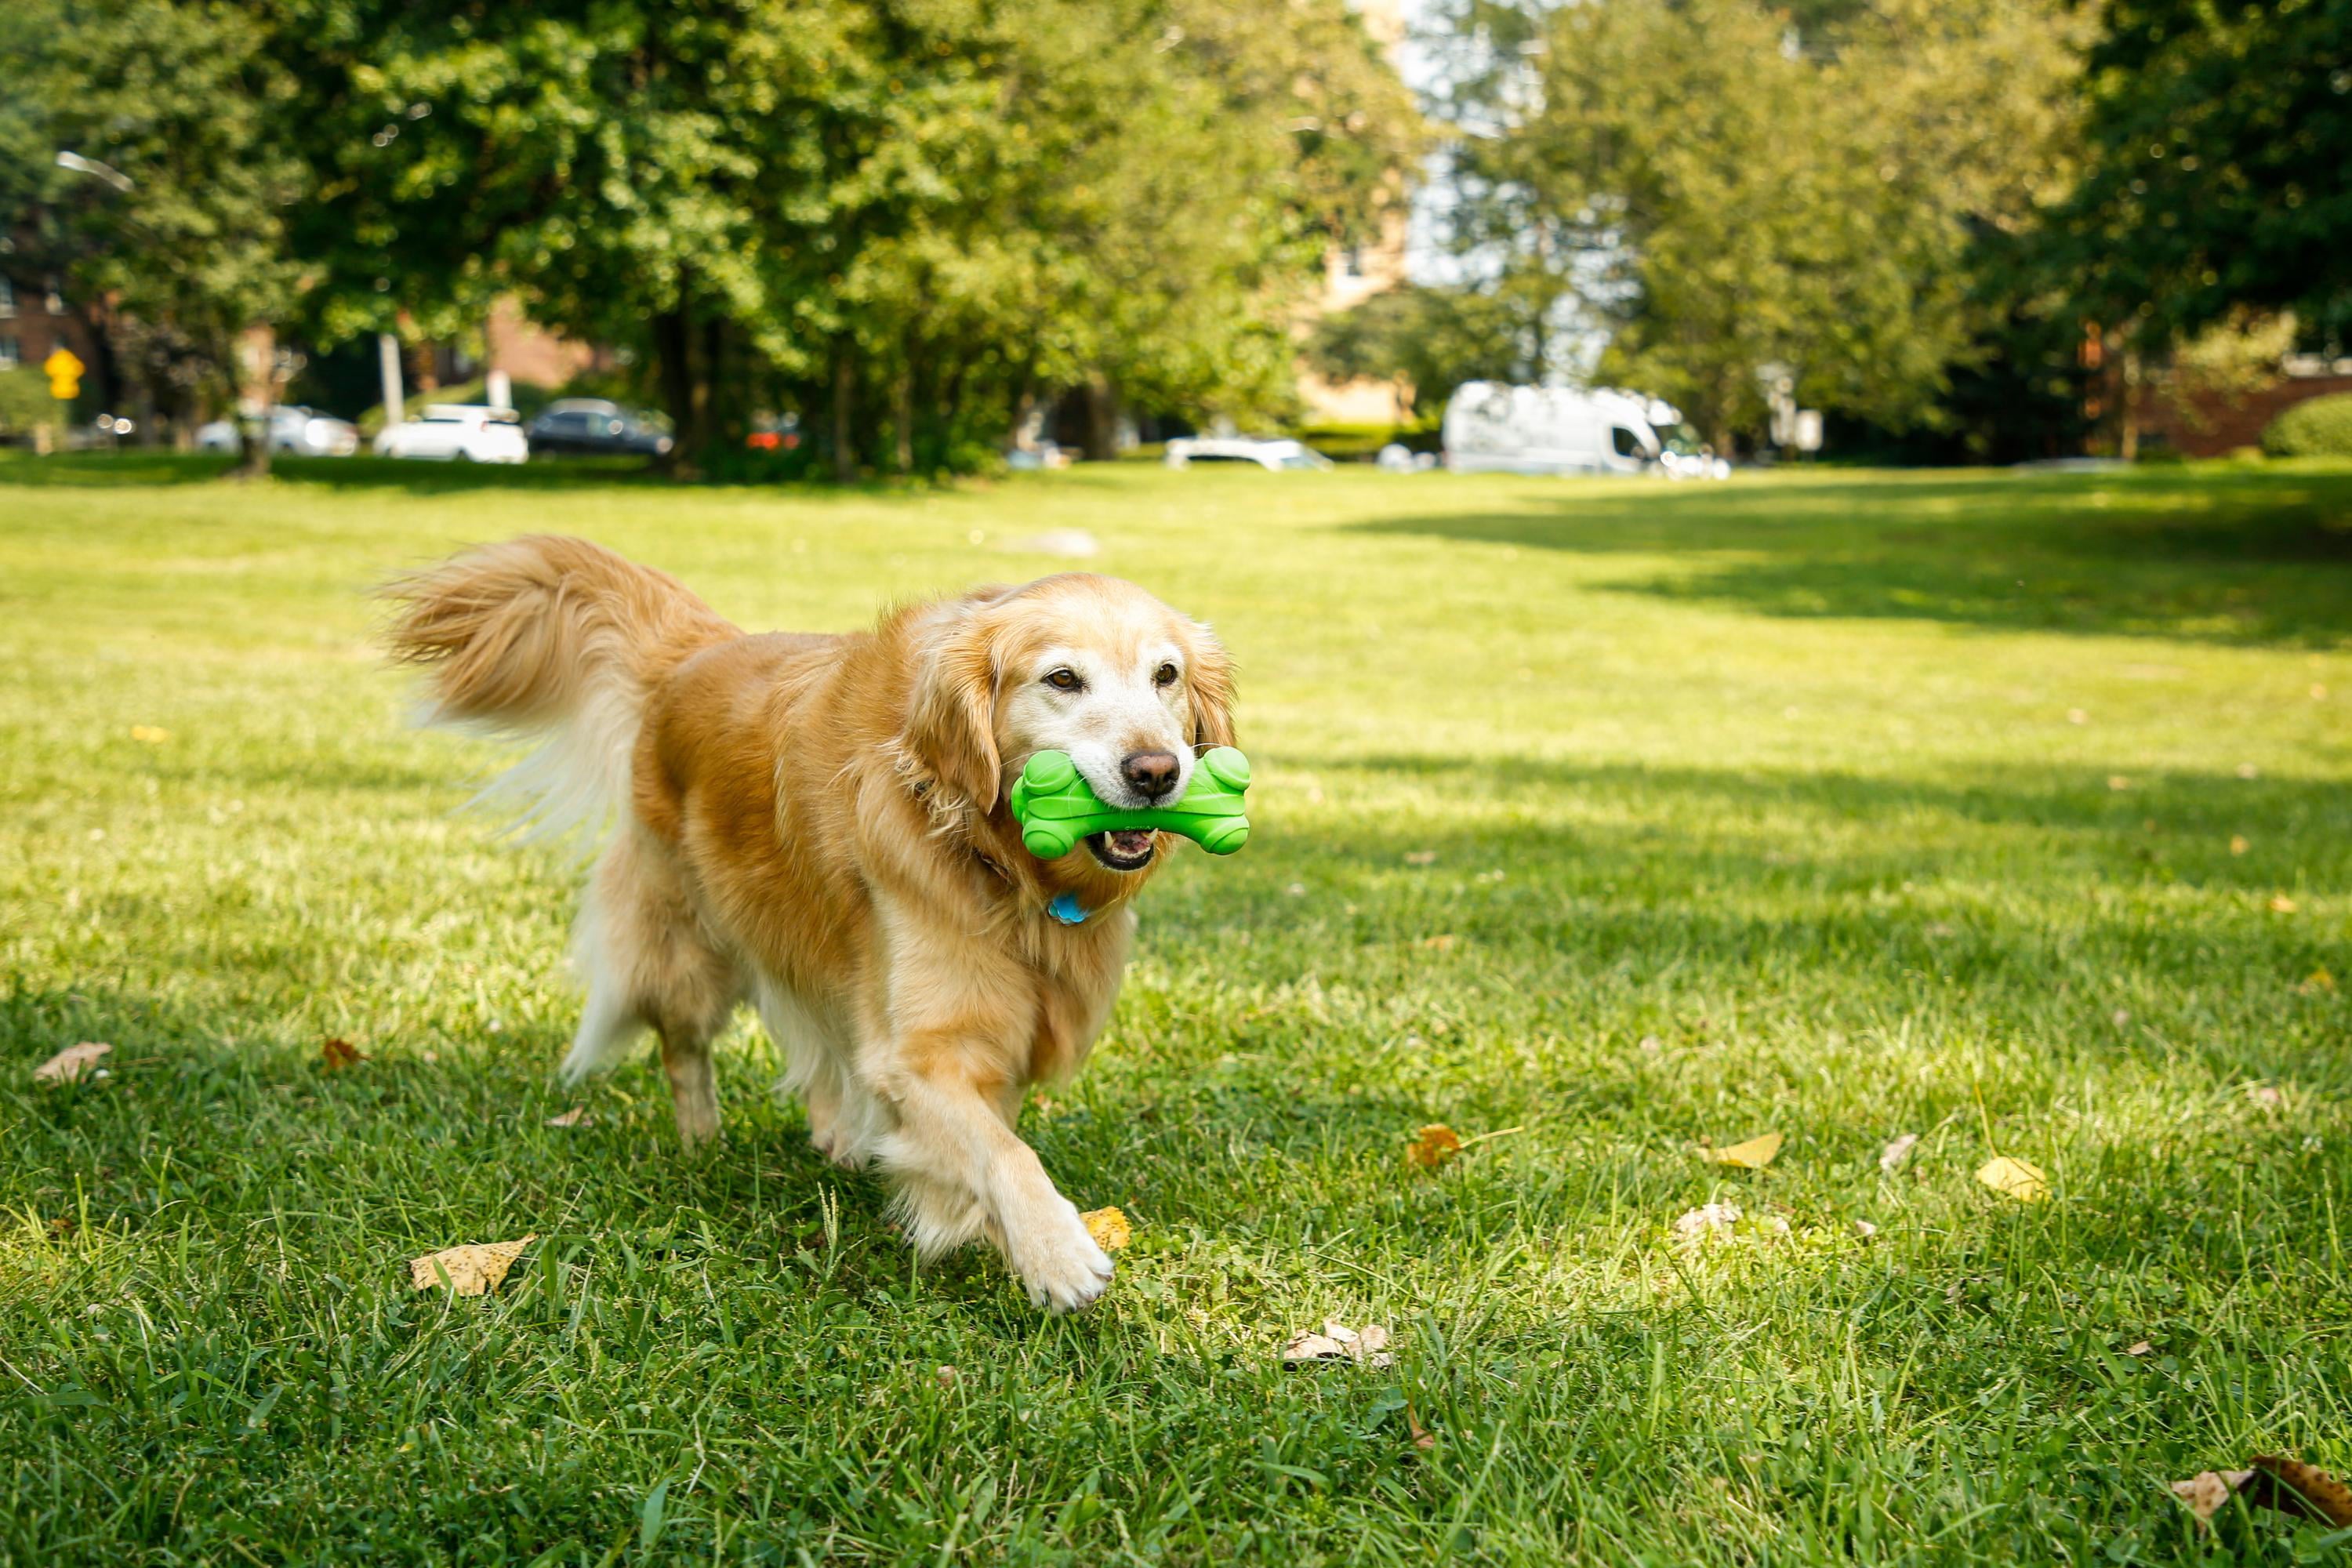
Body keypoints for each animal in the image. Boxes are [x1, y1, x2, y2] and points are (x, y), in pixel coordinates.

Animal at [386, 540, 1232, 1316]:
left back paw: (837, 1139)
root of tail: (701, 648)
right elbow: (1001, 1151)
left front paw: (986, 1228)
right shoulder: (919, 1049)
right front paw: (1055, 1251)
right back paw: (702, 1144)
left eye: (1166, 675)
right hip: (690, 950)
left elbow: (985, 1129)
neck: (997, 856)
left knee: (822, 1044)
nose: (1157, 772)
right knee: (685, 1049)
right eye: (1062, 679)